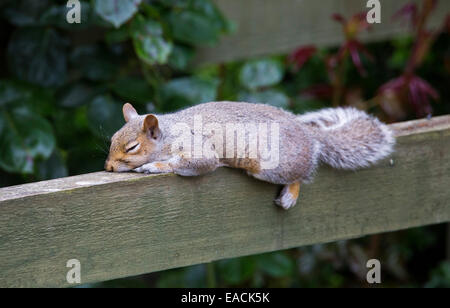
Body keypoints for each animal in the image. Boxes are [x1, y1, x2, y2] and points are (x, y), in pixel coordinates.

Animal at [105, 101, 394, 209]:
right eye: (111, 140)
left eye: (131, 147)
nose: (108, 167)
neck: (168, 135)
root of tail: (308, 134)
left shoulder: (197, 147)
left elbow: (198, 162)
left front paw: (155, 165)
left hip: (268, 165)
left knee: (301, 174)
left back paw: (290, 193)